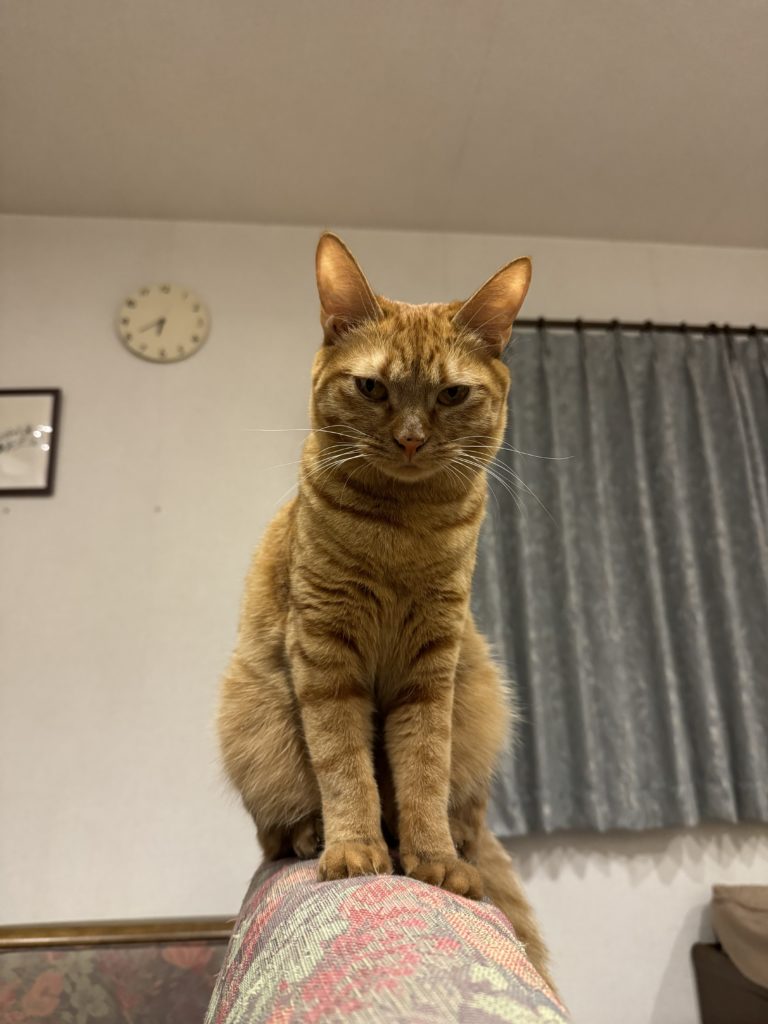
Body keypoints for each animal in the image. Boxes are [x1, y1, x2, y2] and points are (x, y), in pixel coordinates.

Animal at [218, 232, 554, 990]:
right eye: (372, 387)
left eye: (452, 393)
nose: (409, 437)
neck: (404, 528)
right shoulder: (325, 657)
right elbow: (345, 767)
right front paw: (355, 851)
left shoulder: (432, 671)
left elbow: (422, 772)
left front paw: (430, 860)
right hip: (255, 719)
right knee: (275, 830)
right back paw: (313, 835)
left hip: (479, 697)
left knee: (465, 814)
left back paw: (454, 849)